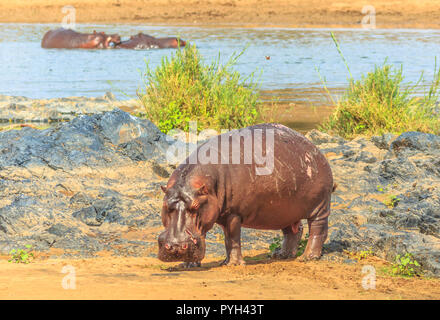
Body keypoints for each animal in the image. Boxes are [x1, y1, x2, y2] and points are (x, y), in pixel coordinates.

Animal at [157, 123, 334, 268]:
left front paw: (233, 264)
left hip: (320, 205)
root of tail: (316, 150)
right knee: (294, 230)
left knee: (318, 230)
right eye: (166, 206)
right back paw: (281, 255)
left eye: (195, 207)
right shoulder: (214, 213)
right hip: (286, 210)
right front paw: (189, 264)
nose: (176, 247)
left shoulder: (234, 213)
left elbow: (232, 239)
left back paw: (308, 257)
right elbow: (213, 238)